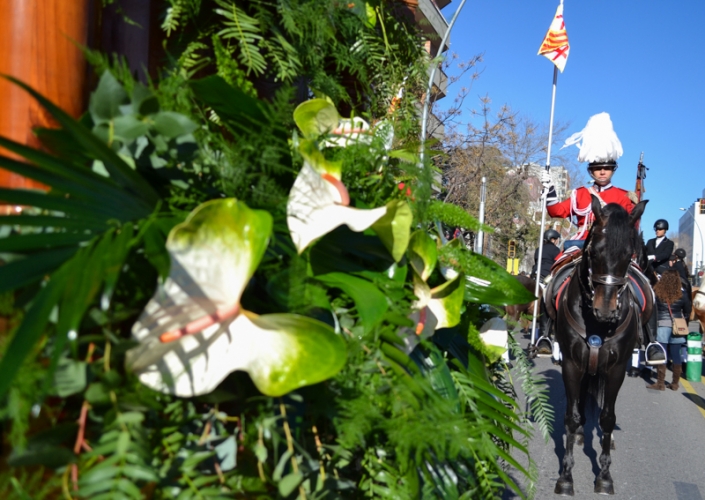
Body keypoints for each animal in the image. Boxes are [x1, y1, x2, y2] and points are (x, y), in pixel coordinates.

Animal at [552, 196, 648, 496]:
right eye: (594, 252)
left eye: (629, 255)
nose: (605, 310)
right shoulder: (572, 364)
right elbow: (571, 418)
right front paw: (566, 476)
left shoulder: (616, 368)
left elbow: (607, 417)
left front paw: (604, 476)